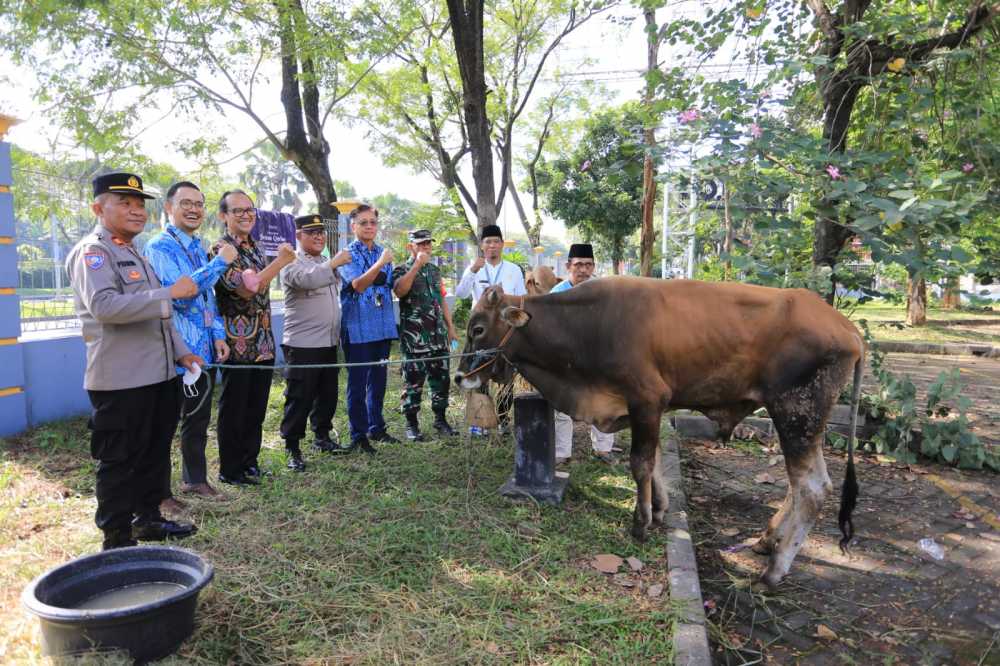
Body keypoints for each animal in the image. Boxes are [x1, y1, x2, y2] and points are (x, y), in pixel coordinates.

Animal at [458, 278, 864, 584]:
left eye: (478, 328)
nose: (461, 376)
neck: (588, 324)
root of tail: (848, 328)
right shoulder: (645, 409)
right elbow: (652, 463)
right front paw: (658, 508)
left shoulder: (648, 400)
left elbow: (640, 464)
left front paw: (641, 524)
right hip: (801, 421)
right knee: (801, 487)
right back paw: (768, 540)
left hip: (796, 413)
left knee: (811, 489)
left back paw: (774, 570)